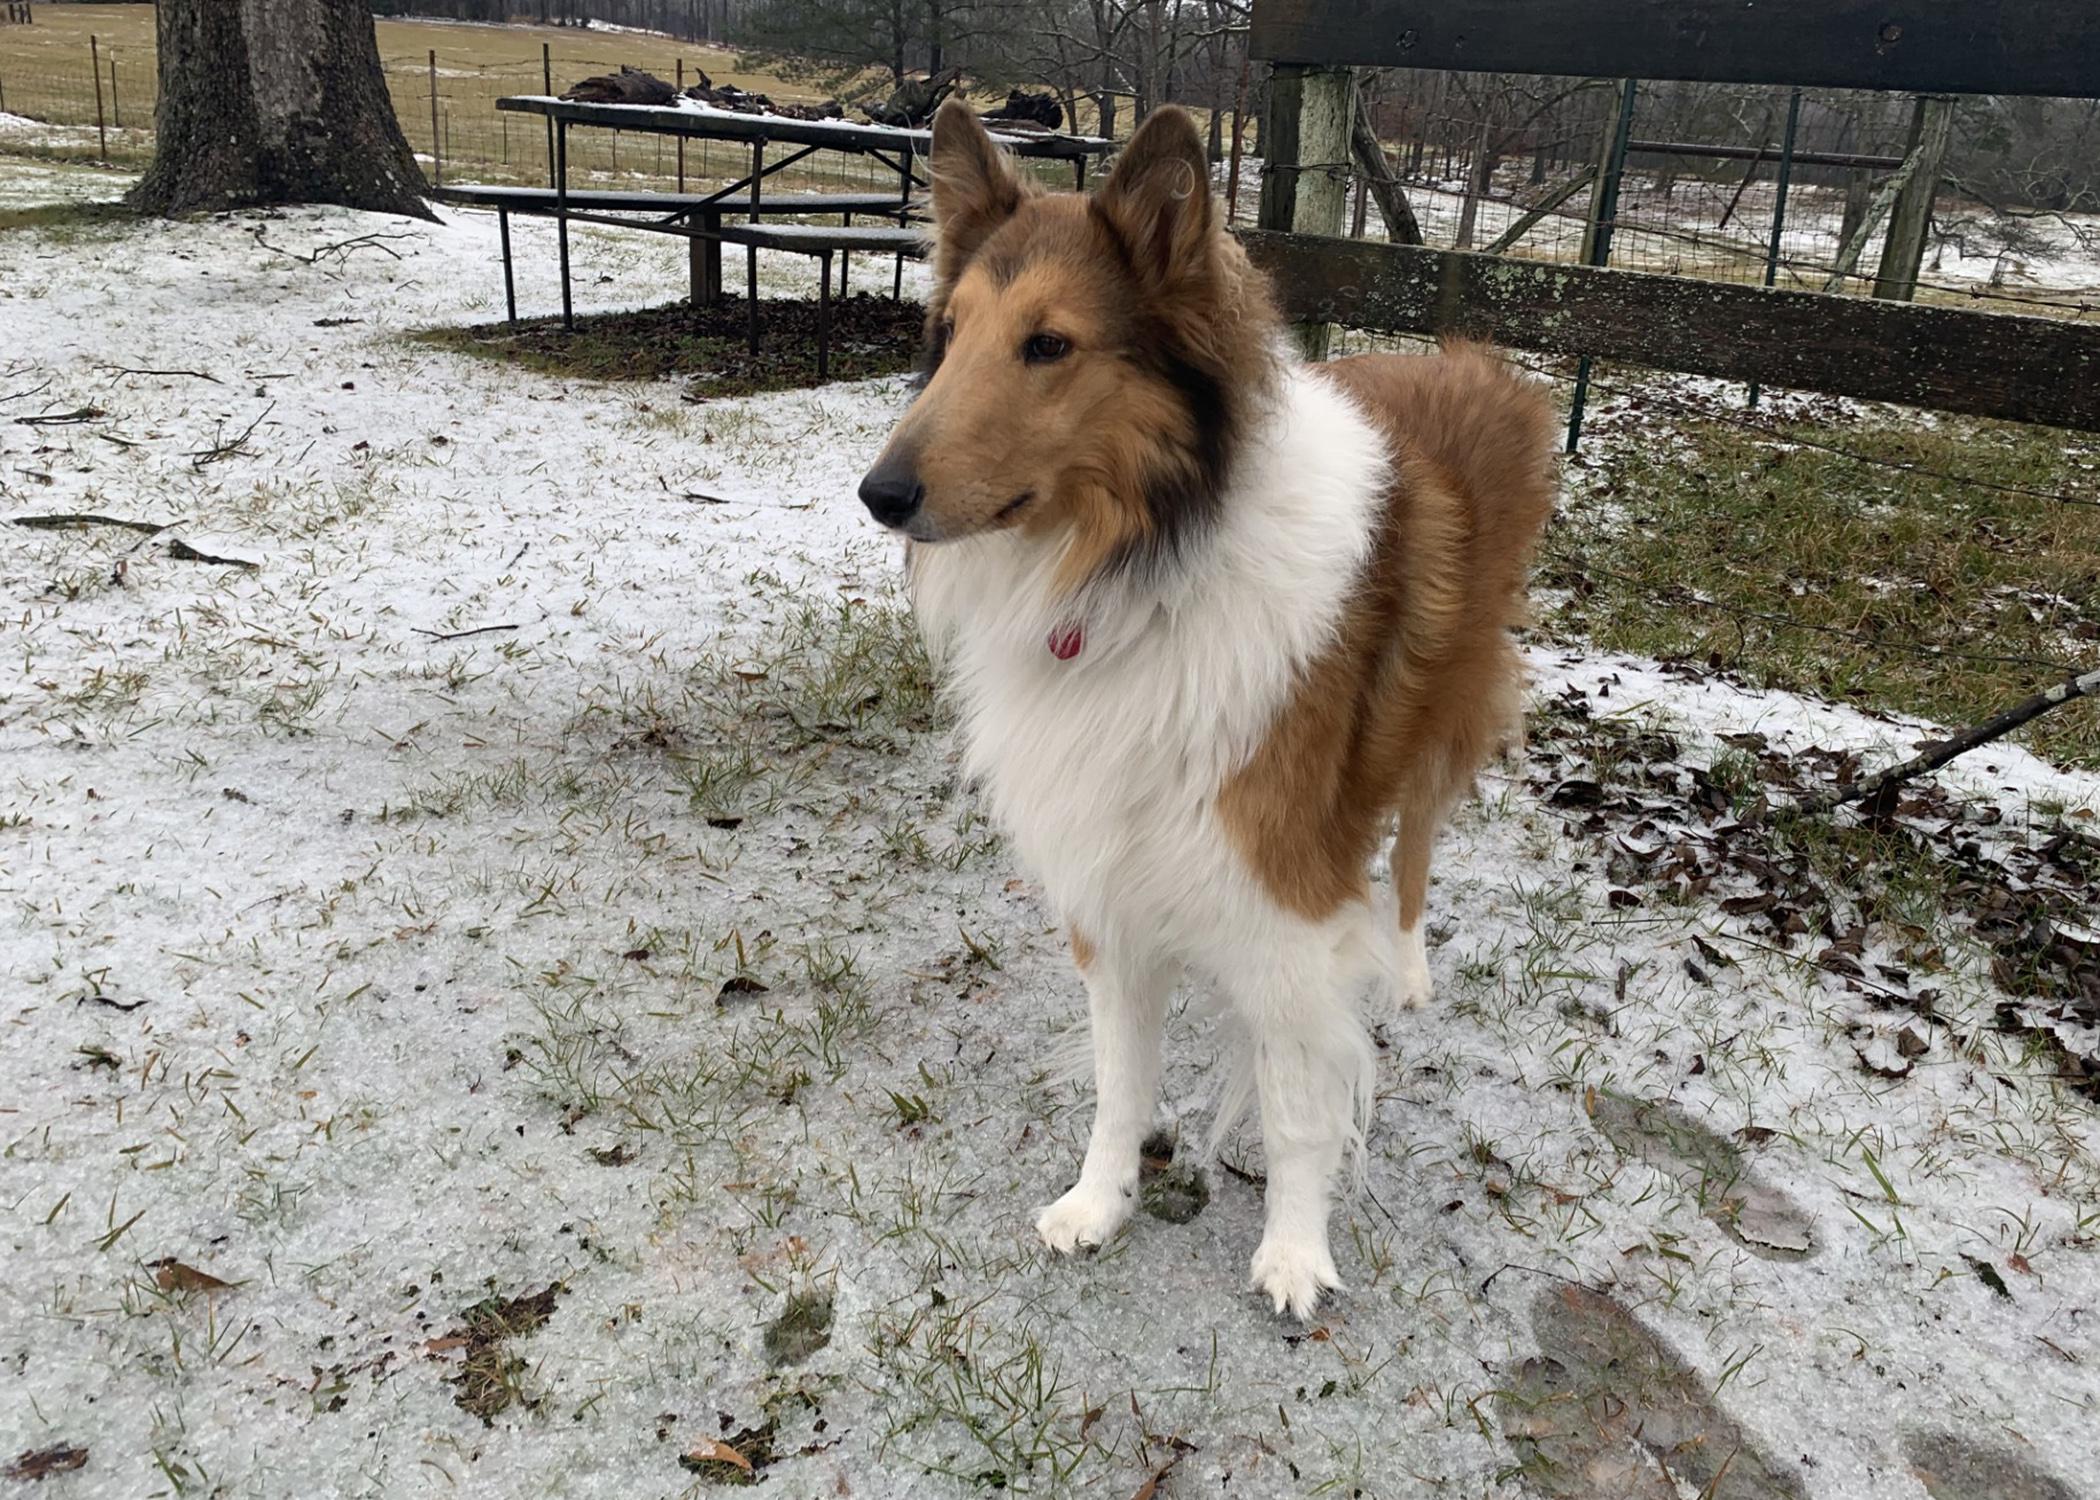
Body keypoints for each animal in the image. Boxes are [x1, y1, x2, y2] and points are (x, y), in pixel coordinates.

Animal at [856, 102, 1562, 1310]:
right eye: (949, 334)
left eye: (1049, 345)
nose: (880, 495)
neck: (1137, 571)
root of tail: (1474, 360)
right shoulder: (1111, 879)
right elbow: (1119, 1080)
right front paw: (1101, 1204)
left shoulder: (1285, 888)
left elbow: (1297, 1104)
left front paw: (1295, 1251)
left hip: (1444, 712)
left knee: (1418, 840)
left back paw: (1407, 970)